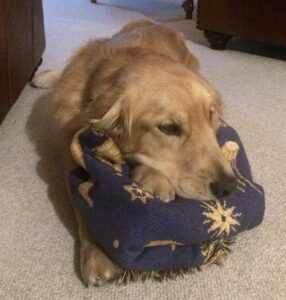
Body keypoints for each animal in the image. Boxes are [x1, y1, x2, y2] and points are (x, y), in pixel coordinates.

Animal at [31, 19, 237, 286]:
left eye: (211, 117)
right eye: (169, 128)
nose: (228, 187)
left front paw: (152, 177)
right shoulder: (70, 144)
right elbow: (82, 204)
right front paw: (96, 255)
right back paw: (45, 75)